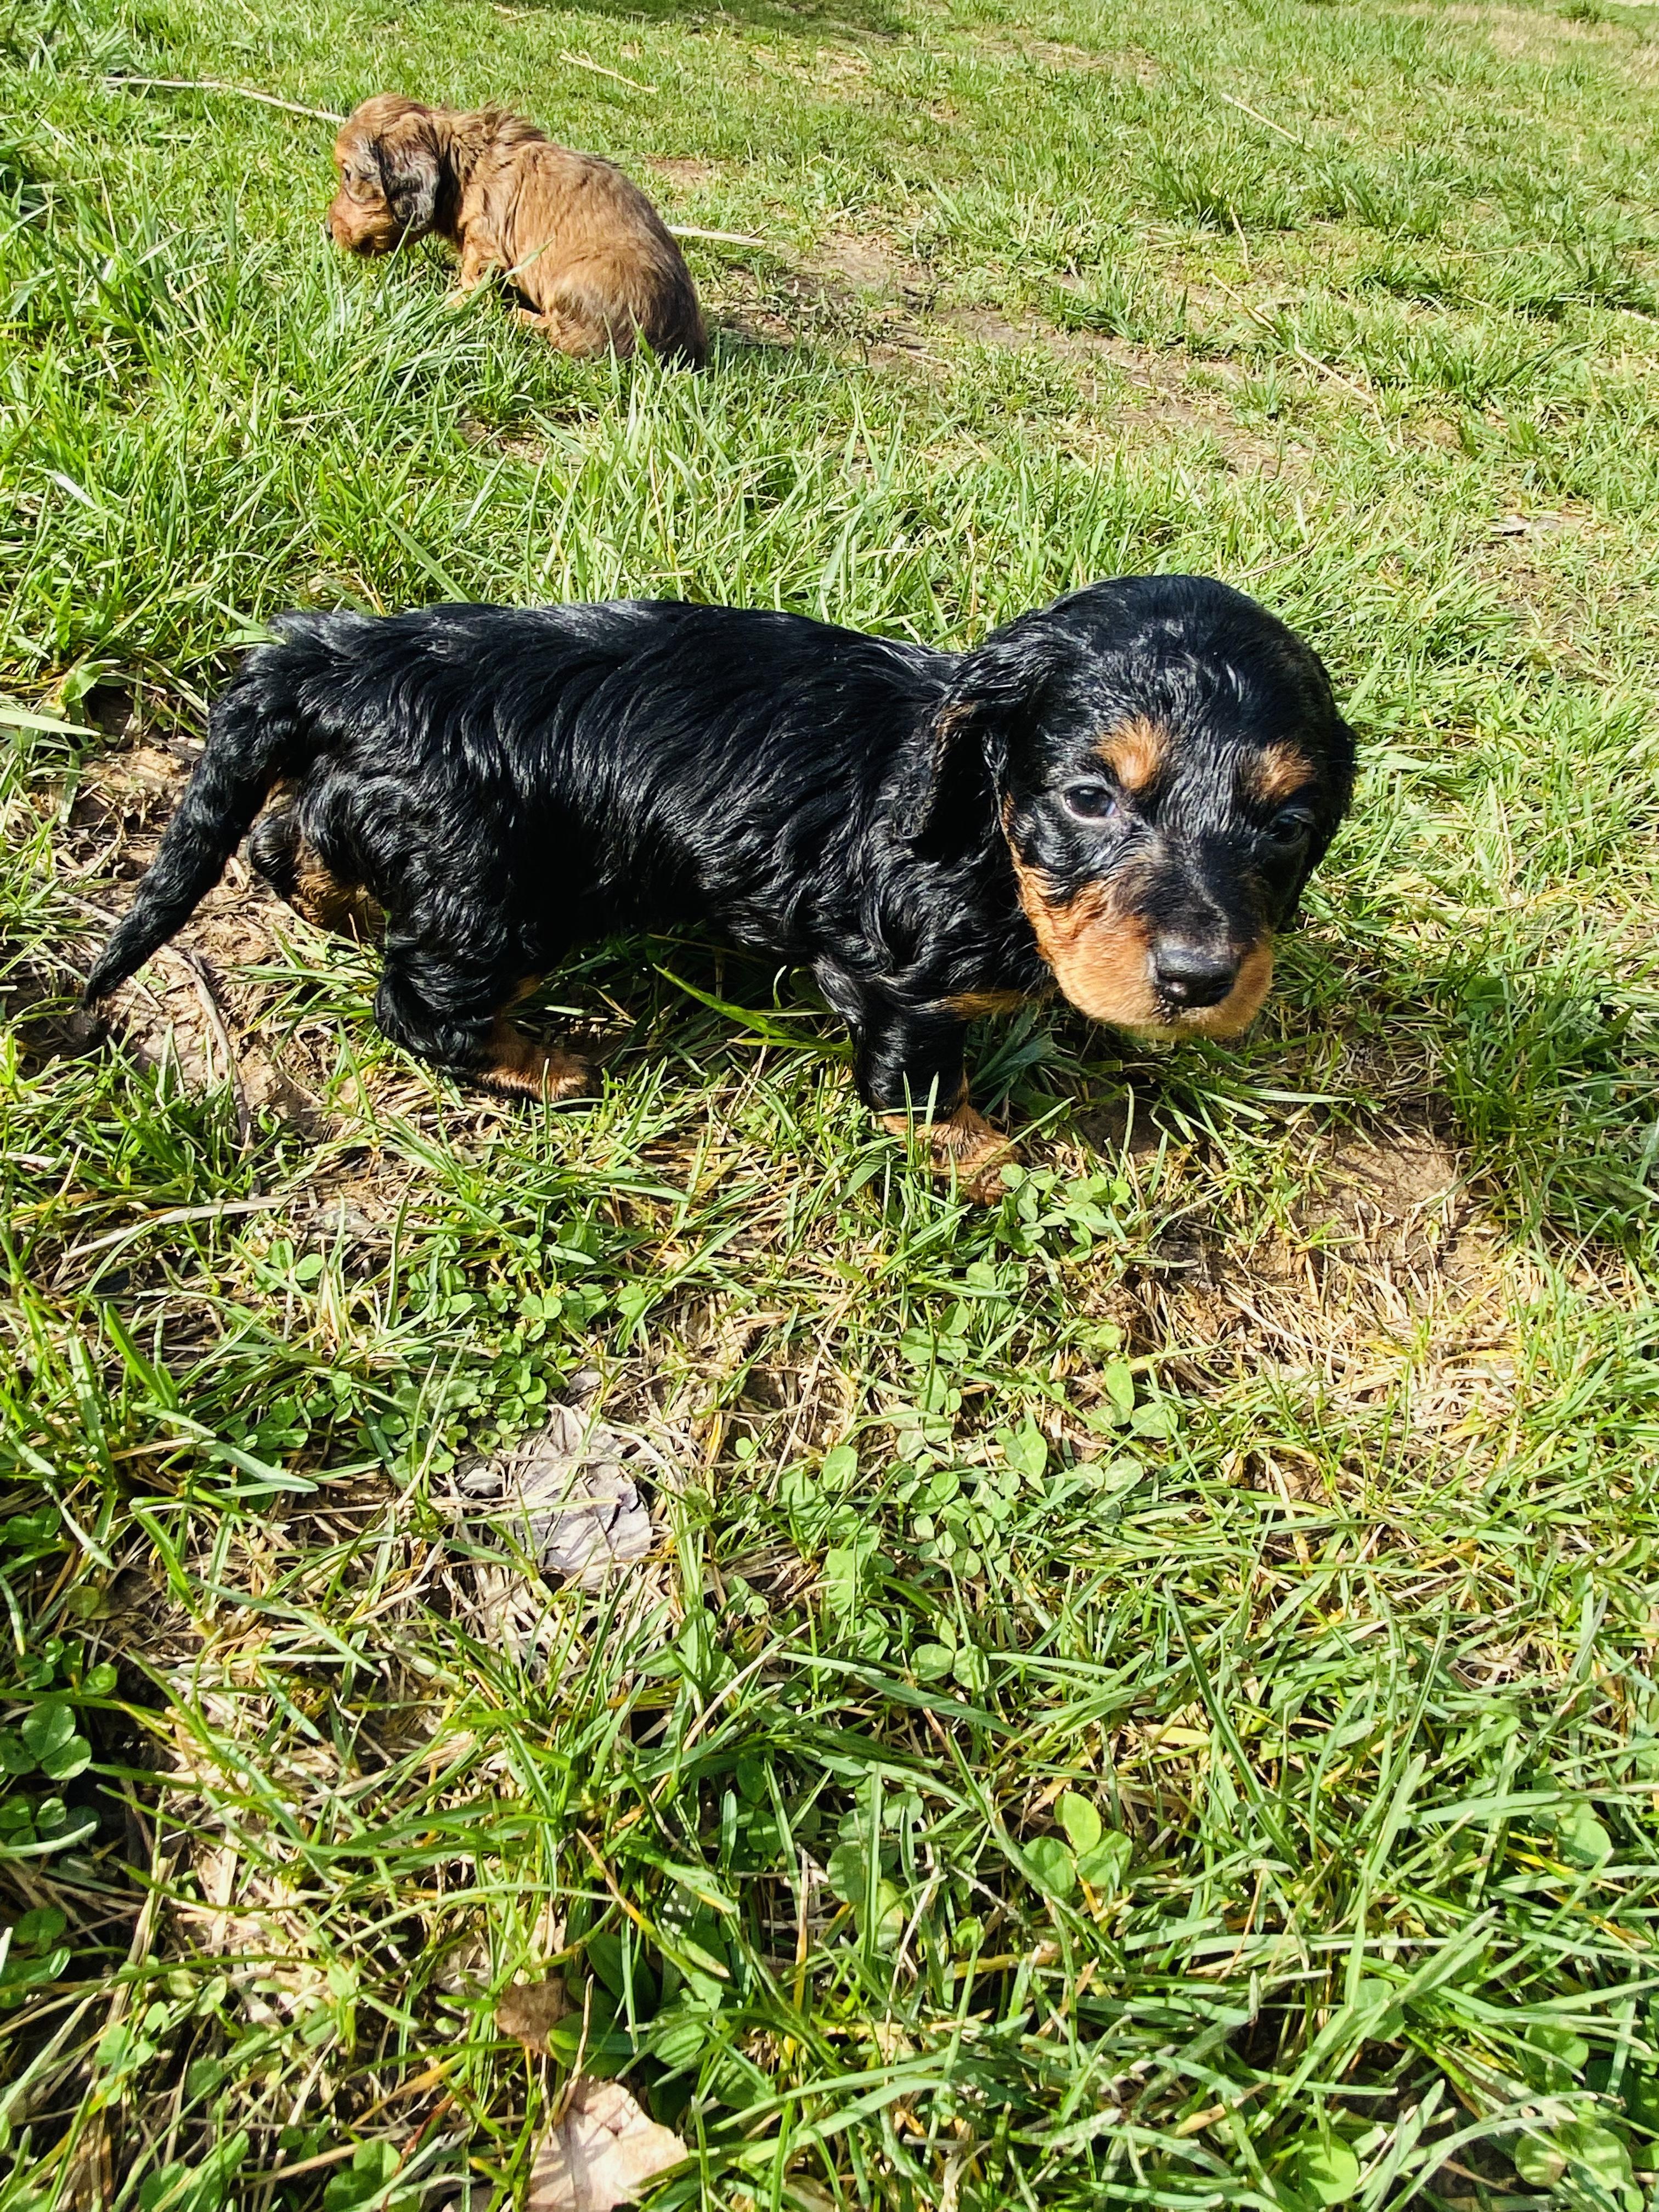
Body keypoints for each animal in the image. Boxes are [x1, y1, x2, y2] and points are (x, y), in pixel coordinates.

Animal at [81, 577, 1354, 1195]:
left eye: (1290, 824)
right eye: (1090, 798)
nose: (1200, 979)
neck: (980, 833)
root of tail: (340, 658)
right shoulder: (898, 977)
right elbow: (922, 1087)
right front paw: (988, 1161)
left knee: (285, 841)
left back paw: (334, 900)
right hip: (503, 894)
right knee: (418, 997)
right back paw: (535, 1064)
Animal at [326, 94, 706, 366]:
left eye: (348, 174)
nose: (328, 231)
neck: (465, 164)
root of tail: (677, 347)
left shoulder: (484, 247)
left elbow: (470, 287)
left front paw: (440, 304)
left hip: (575, 284)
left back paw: (519, 317)